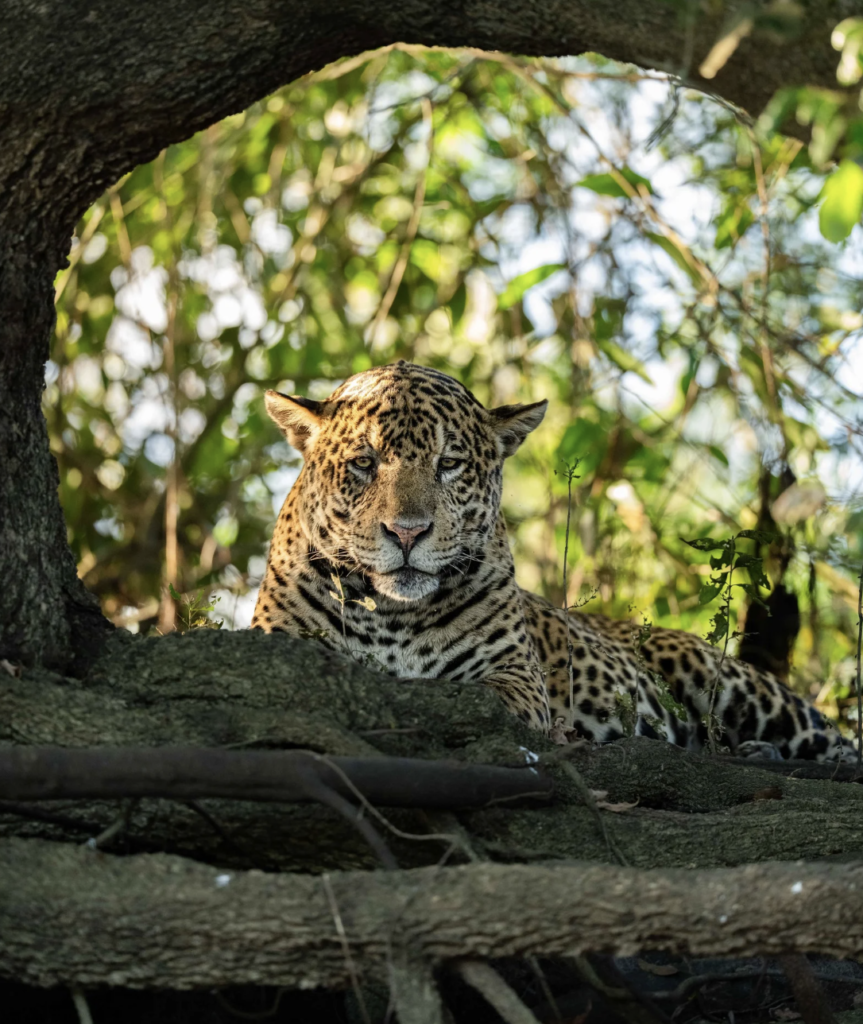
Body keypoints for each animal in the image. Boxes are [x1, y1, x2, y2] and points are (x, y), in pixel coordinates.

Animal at [252, 361, 856, 763]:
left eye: (449, 464)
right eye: (364, 462)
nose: (407, 532)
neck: (391, 614)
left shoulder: (515, 675)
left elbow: (477, 698)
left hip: (726, 681)